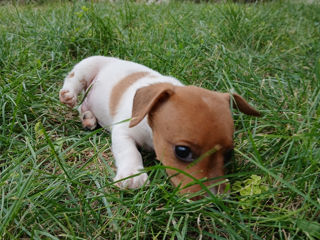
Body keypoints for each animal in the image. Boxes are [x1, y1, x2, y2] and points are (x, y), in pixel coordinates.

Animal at [60, 55, 260, 195]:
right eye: (182, 151)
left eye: (229, 154)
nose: (213, 200)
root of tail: (113, 59)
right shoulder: (123, 132)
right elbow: (129, 151)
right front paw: (132, 175)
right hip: (89, 65)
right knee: (74, 79)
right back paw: (69, 94)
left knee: (82, 107)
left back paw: (88, 117)